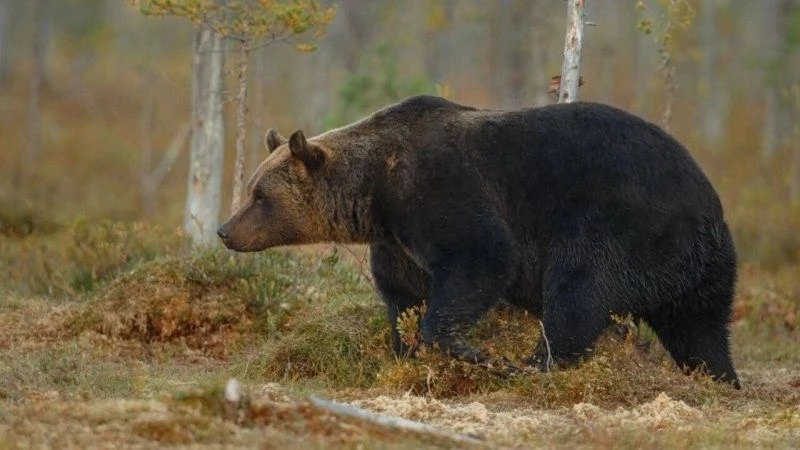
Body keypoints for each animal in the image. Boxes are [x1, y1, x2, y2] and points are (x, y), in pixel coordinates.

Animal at [217, 95, 740, 388]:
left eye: (259, 195)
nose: (224, 230)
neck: (375, 192)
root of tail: (707, 207)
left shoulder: (440, 189)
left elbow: (482, 258)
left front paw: (472, 352)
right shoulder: (396, 241)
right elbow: (403, 297)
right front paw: (405, 352)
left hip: (619, 223)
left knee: (578, 292)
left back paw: (533, 365)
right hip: (698, 268)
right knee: (700, 329)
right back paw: (719, 380)